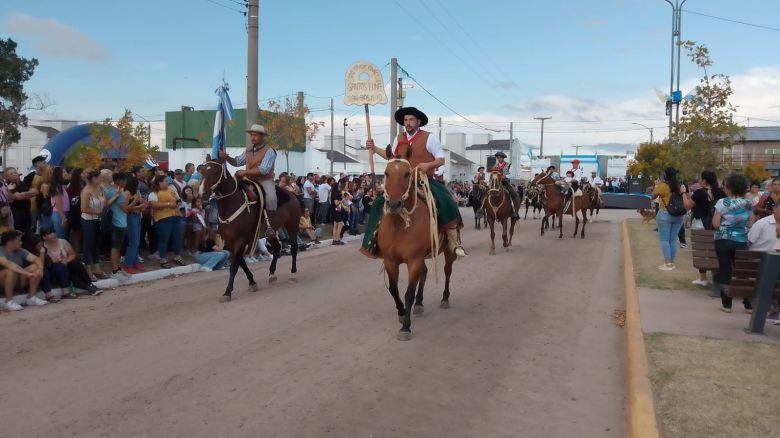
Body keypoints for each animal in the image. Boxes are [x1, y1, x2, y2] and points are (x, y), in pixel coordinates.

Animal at [198, 158, 302, 302]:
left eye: (217, 171)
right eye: (202, 171)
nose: (202, 194)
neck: (231, 204)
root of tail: (292, 194)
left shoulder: (240, 240)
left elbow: (234, 266)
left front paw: (227, 292)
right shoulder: (231, 241)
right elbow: (241, 262)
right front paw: (252, 282)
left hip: (292, 226)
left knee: (293, 248)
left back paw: (293, 273)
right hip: (271, 232)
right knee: (277, 247)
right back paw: (272, 273)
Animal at [374, 145, 454, 340]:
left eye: (406, 173)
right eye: (386, 173)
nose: (394, 204)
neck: (399, 225)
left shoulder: (414, 260)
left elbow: (408, 293)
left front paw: (406, 327)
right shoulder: (390, 261)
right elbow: (394, 290)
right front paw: (402, 313)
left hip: (448, 250)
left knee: (447, 271)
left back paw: (445, 298)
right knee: (424, 274)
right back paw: (419, 303)